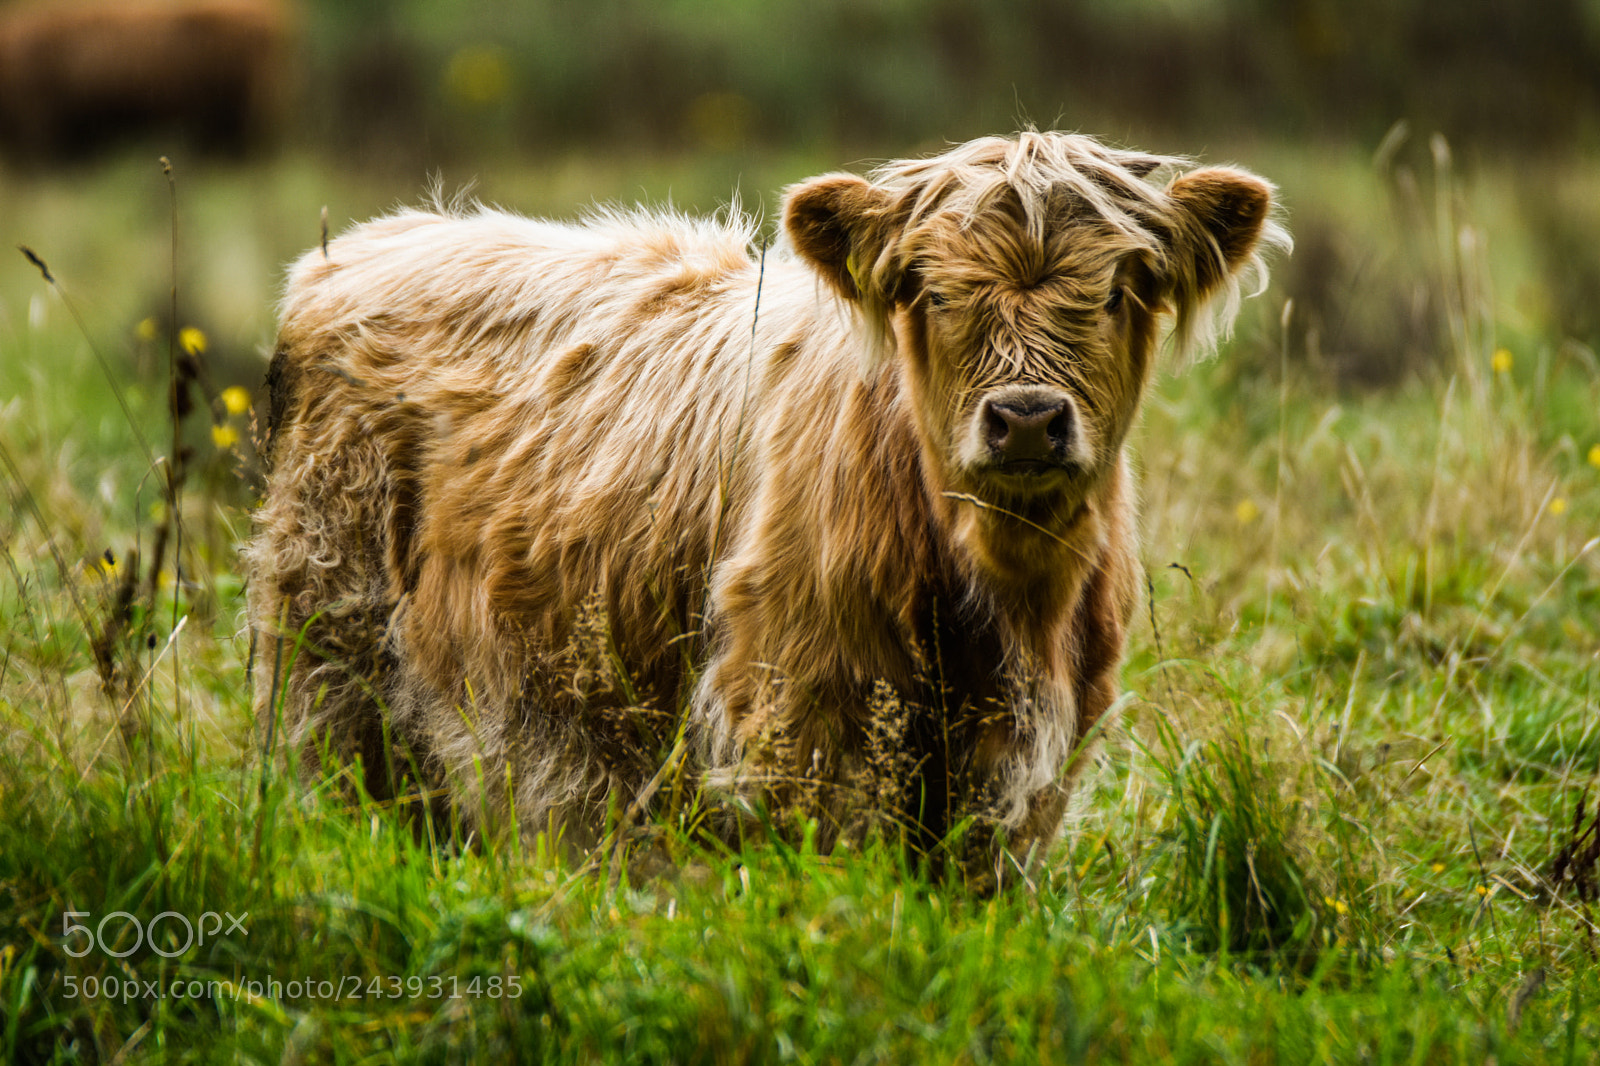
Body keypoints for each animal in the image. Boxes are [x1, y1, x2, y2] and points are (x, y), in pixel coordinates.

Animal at [247, 131, 1287, 886]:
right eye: (935, 293)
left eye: (1119, 290)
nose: (1026, 420)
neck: (1000, 597)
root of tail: (360, 248)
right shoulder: (805, 712)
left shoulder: (1031, 760)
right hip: (335, 654)